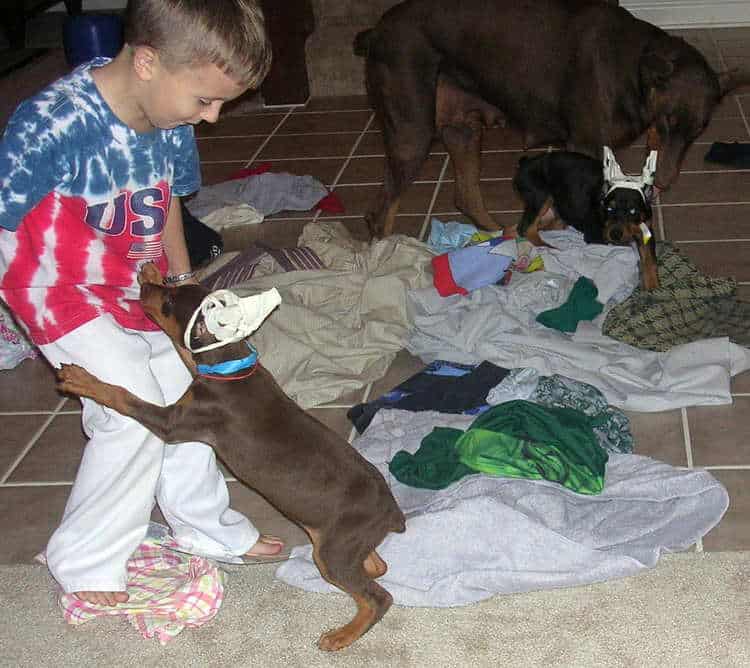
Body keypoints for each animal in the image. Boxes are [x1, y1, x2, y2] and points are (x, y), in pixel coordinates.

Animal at [55, 262, 408, 652]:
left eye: (167, 304)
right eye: (170, 289)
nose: (143, 286)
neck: (232, 368)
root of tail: (392, 512)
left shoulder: (173, 424)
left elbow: (125, 396)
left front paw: (82, 379)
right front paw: (150, 267)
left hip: (334, 552)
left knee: (377, 597)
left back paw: (342, 635)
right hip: (339, 544)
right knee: (377, 567)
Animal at [516, 154, 660, 290]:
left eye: (633, 211)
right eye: (609, 208)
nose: (615, 234)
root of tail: (525, 162)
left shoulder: (647, 228)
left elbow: (650, 259)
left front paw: (652, 286)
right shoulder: (595, 236)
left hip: (557, 212)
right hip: (540, 197)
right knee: (526, 228)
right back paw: (550, 248)